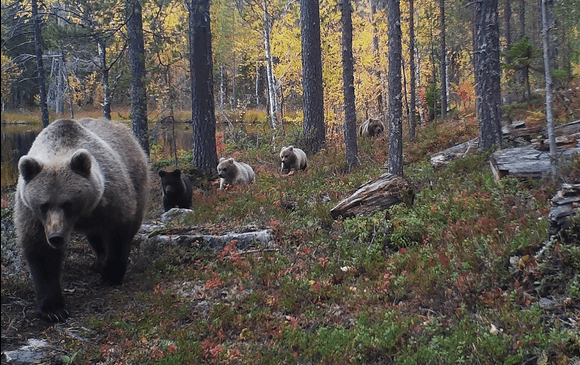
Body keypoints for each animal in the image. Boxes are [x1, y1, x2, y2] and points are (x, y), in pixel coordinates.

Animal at [15, 118, 151, 320]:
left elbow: (119, 232)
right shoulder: (31, 214)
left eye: (67, 203)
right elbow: (41, 253)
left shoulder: (110, 198)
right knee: (95, 236)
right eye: (44, 205)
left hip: (137, 176)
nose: (56, 237)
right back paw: (98, 260)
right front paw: (53, 309)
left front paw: (111, 275)